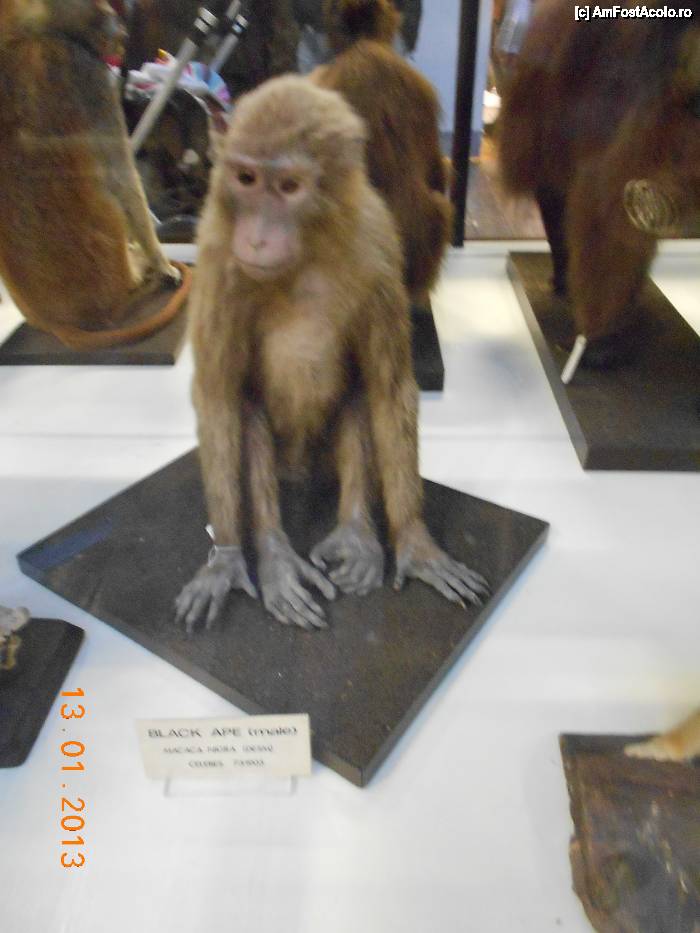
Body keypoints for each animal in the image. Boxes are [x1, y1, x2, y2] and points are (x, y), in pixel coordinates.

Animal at [0, 0, 190, 350]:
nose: (120, 30)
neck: (21, 32)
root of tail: (54, 322)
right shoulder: (85, 74)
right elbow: (124, 181)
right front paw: (165, 266)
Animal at [174, 75, 489, 633]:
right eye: (247, 179)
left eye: (288, 187)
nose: (258, 238)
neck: (307, 251)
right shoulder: (216, 258)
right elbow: (218, 396)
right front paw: (228, 556)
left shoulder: (379, 246)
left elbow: (388, 388)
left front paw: (414, 540)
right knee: (248, 413)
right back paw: (275, 554)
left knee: (359, 395)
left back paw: (357, 533)